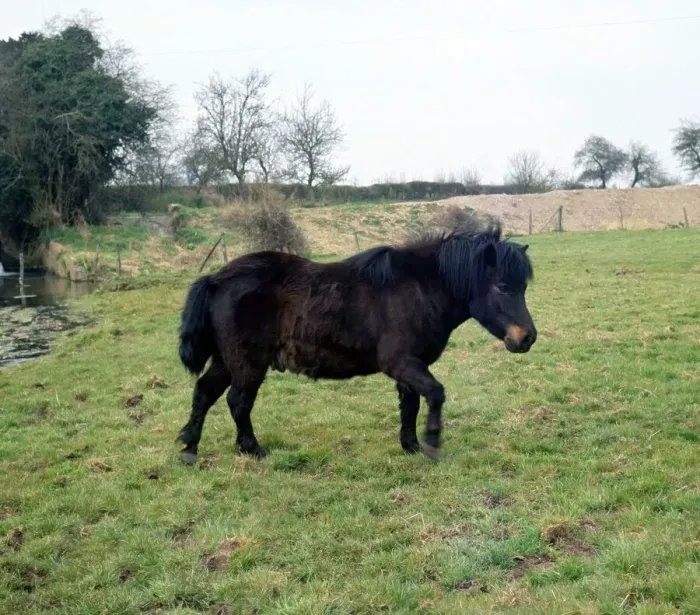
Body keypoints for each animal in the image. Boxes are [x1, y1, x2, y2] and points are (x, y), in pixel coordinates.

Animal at [176, 224, 536, 465]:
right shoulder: (401, 362)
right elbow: (435, 394)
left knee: (204, 393)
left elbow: (411, 404)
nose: (527, 338)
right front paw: (432, 443)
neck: (418, 289)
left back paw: (190, 449)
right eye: (503, 286)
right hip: (248, 362)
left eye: (523, 287)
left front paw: (411, 446)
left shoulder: (410, 366)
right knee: (238, 401)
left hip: (226, 360)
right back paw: (252, 449)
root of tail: (215, 279)